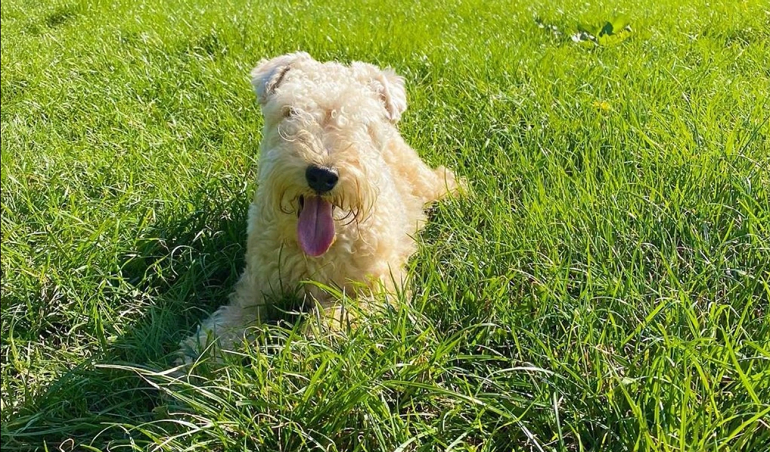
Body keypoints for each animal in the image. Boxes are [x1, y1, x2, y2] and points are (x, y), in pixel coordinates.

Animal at [177, 53, 460, 364]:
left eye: (362, 123)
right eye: (290, 112)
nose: (322, 175)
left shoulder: (380, 288)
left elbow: (334, 321)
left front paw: (304, 352)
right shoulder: (254, 288)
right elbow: (228, 323)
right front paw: (196, 358)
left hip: (424, 180)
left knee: (445, 180)